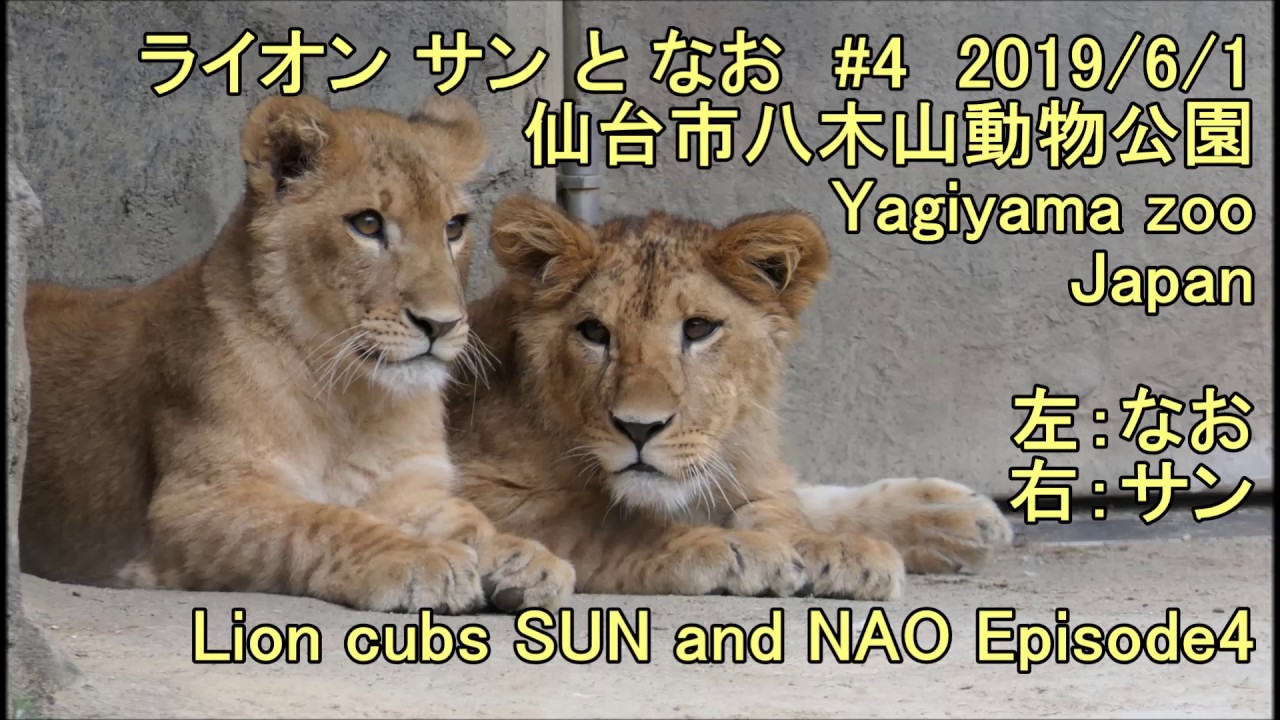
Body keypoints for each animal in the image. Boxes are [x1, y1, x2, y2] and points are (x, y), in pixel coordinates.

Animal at [19, 93, 573, 614]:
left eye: (453, 227)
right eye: (367, 224)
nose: (441, 324)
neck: (357, 399)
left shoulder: (409, 487)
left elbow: (467, 519)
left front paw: (525, 559)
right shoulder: (190, 503)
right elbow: (318, 522)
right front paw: (421, 559)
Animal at [447, 194, 1014, 599]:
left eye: (698, 329)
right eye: (594, 332)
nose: (638, 427)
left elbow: (786, 503)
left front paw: (839, 545)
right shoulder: (478, 480)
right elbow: (607, 523)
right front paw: (740, 549)